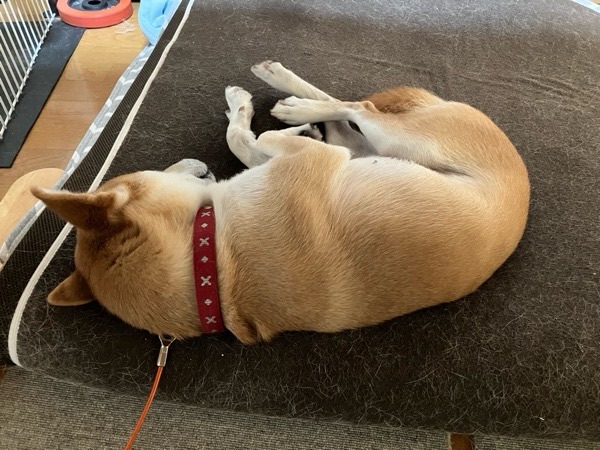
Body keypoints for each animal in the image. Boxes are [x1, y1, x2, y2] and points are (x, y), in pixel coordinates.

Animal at [32, 61, 530, 344]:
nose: (195, 165)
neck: (212, 267)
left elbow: (248, 143)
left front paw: (256, 122)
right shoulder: (320, 160)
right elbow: (253, 141)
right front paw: (260, 122)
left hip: (394, 143)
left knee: (354, 108)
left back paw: (290, 99)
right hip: (387, 144)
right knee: (353, 111)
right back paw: (294, 103)